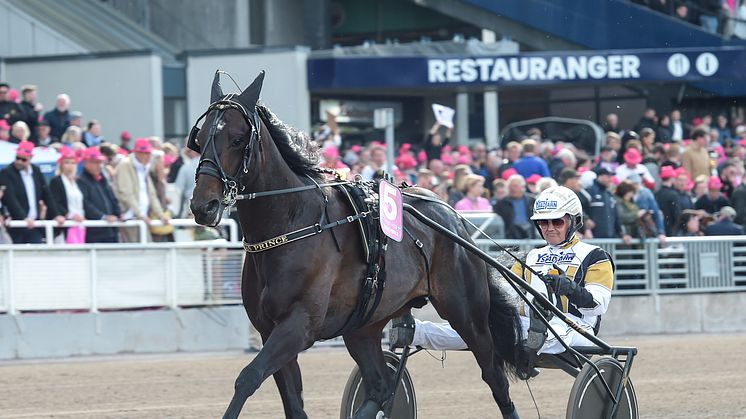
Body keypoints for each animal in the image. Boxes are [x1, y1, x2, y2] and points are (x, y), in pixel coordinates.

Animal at [190, 70, 528, 418]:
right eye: (199, 140)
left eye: (237, 139)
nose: (204, 206)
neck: (291, 225)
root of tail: (453, 216)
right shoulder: (270, 329)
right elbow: (292, 402)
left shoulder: (299, 326)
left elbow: (248, 376)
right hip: (364, 325)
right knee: (380, 386)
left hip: (467, 314)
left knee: (494, 377)